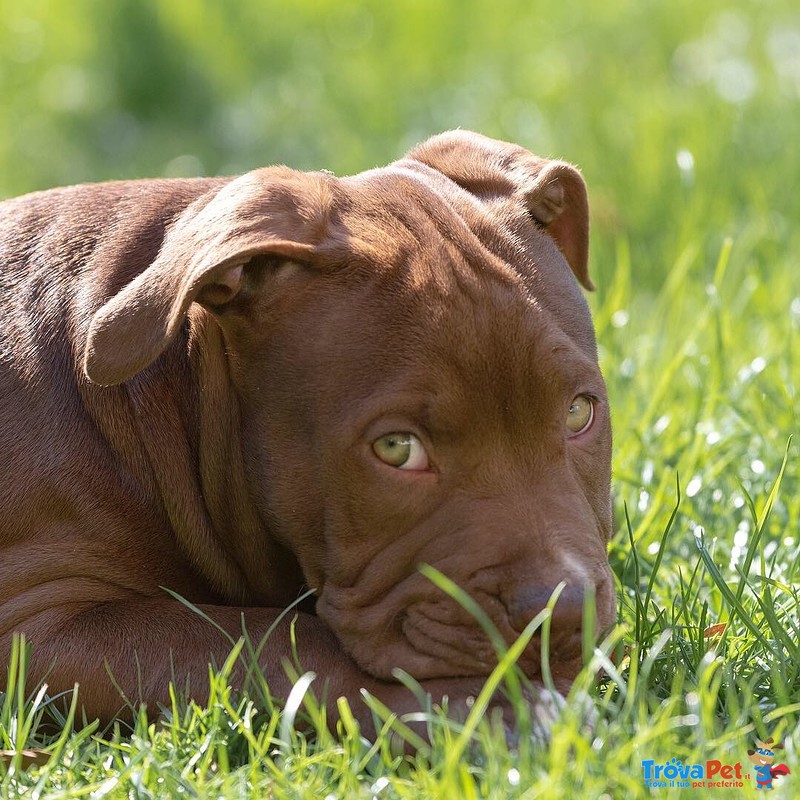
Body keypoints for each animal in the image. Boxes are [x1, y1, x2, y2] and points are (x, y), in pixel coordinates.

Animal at [0, 131, 616, 732]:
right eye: (397, 449)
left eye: (578, 414)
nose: (563, 613)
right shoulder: (34, 627)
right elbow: (263, 641)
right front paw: (495, 709)